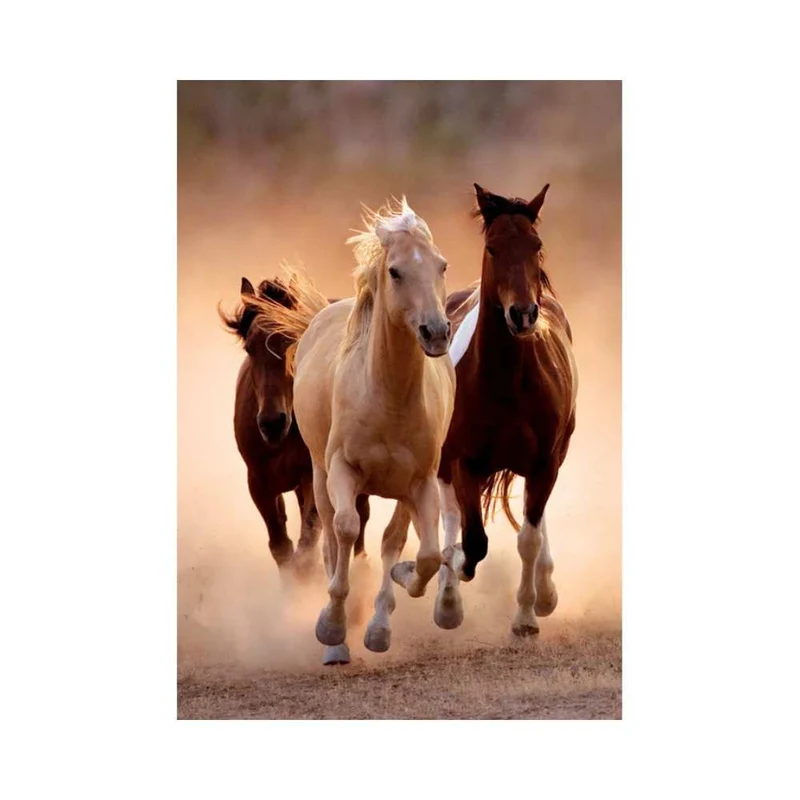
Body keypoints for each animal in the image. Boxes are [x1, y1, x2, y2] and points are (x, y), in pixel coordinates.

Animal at [219, 275, 373, 579]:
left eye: (292, 342)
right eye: (249, 348)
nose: (272, 422)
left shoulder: (310, 476)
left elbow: (307, 544)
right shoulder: (259, 483)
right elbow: (281, 547)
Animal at [249, 198, 456, 665]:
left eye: (442, 265)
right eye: (395, 271)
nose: (436, 332)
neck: (388, 398)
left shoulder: (420, 483)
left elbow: (423, 554)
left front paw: (396, 592)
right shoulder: (341, 471)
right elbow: (344, 531)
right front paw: (331, 626)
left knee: (390, 539)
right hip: (318, 476)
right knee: (330, 537)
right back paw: (337, 640)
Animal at [390, 183, 578, 638]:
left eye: (536, 244)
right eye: (492, 247)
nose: (523, 314)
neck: (507, 382)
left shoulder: (545, 462)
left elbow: (528, 537)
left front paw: (528, 614)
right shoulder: (463, 462)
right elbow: (472, 541)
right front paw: (443, 579)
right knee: (452, 517)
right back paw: (446, 598)